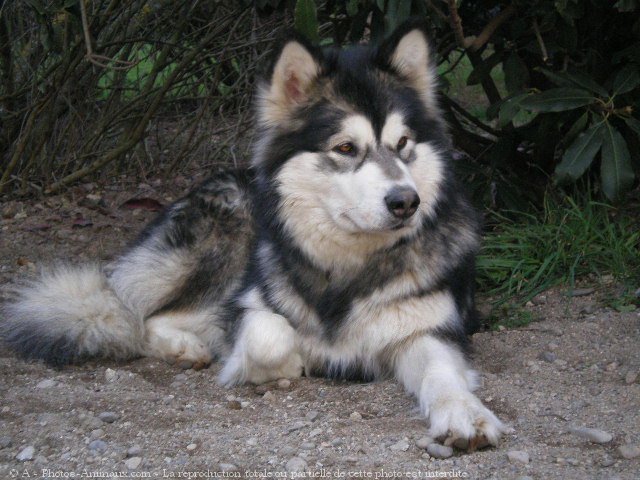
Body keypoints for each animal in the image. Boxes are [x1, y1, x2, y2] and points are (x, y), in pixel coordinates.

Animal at [2, 20, 508, 450]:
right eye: (346, 148)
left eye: (403, 144)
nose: (406, 202)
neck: (346, 269)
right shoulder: (250, 303)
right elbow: (270, 336)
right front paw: (287, 361)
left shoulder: (430, 330)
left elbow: (443, 375)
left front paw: (465, 415)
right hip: (220, 236)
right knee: (138, 314)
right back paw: (187, 346)